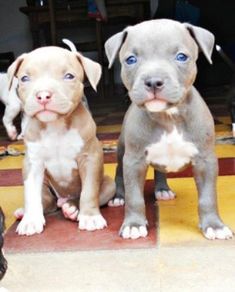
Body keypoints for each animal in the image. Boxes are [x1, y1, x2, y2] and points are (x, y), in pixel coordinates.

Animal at [8, 46, 115, 237]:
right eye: (25, 78)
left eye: (69, 76)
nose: (43, 95)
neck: (55, 126)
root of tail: (63, 199)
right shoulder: (33, 162)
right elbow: (31, 194)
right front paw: (31, 220)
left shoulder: (90, 157)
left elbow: (88, 192)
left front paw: (90, 217)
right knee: (47, 201)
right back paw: (25, 212)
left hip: (110, 183)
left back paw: (72, 209)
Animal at [105, 19, 233, 241]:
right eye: (131, 59)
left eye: (181, 57)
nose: (153, 81)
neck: (168, 116)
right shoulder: (134, 161)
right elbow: (134, 196)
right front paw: (134, 224)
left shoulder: (205, 160)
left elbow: (208, 196)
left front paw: (214, 226)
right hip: (122, 151)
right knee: (120, 175)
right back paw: (119, 197)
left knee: (160, 170)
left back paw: (162, 189)